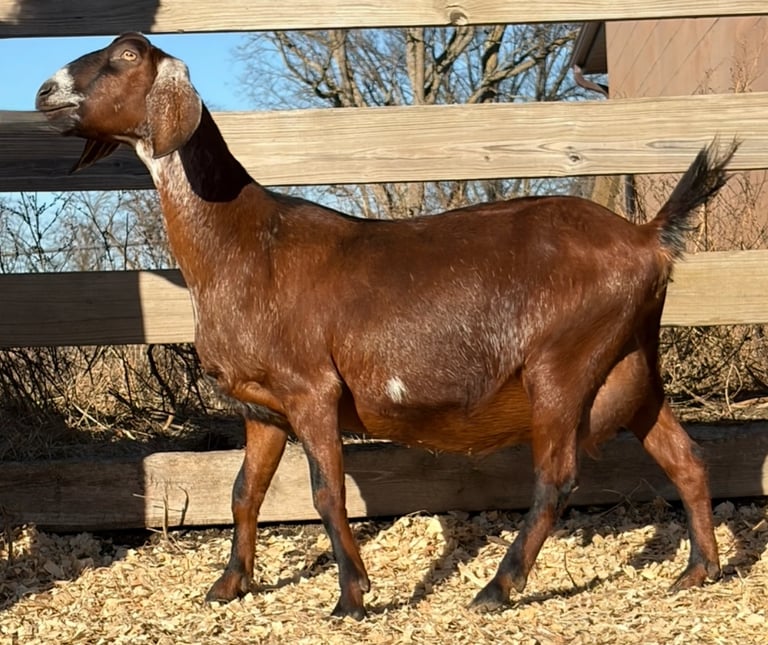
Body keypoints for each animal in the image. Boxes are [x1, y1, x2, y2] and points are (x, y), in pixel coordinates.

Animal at [37, 33, 737, 620]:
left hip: (562, 363)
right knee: (686, 457)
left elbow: (326, 493)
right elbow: (244, 491)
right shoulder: (262, 406)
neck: (245, 243)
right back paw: (698, 571)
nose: (44, 91)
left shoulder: (311, 389)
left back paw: (497, 587)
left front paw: (352, 595)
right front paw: (228, 586)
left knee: (555, 477)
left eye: (126, 56)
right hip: (630, 365)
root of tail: (647, 238)